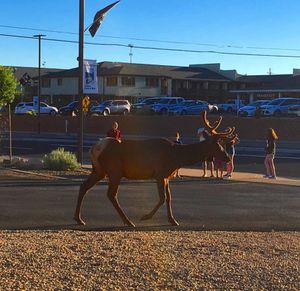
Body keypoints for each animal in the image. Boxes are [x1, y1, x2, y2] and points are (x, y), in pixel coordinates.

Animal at [74, 112, 236, 228]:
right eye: (217, 144)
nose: (228, 157)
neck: (176, 157)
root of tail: (94, 149)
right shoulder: (159, 173)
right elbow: (162, 198)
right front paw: (146, 216)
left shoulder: (167, 176)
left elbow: (169, 197)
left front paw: (173, 220)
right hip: (114, 171)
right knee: (111, 194)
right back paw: (128, 221)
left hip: (99, 170)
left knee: (84, 186)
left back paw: (79, 218)